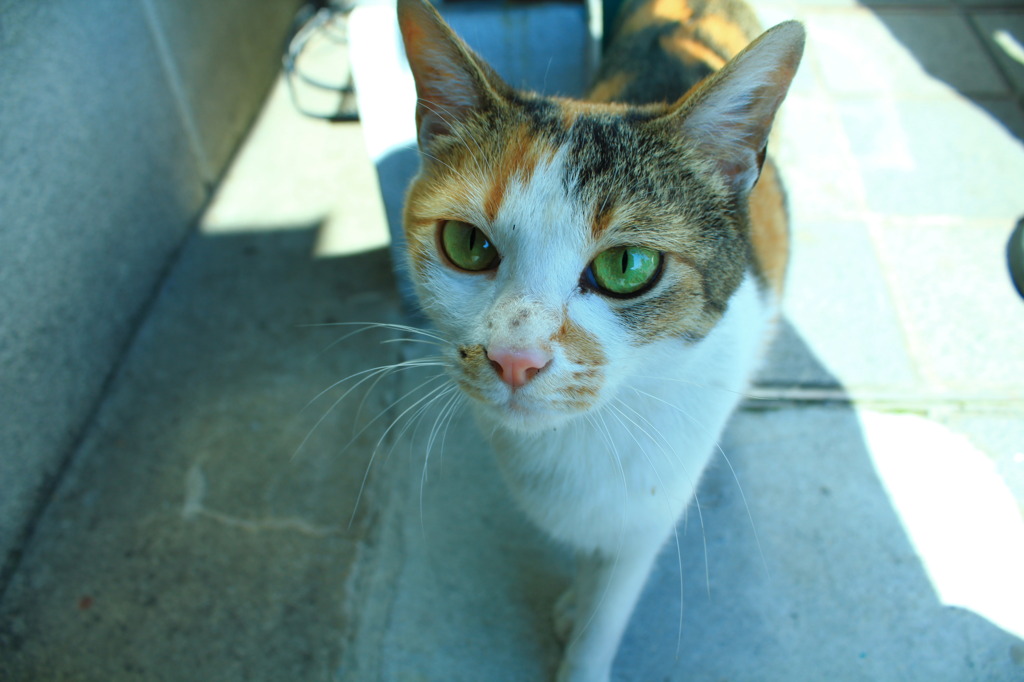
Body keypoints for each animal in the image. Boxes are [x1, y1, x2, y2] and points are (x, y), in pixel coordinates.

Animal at [395, 0, 802, 675]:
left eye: (627, 266)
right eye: (468, 244)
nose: (514, 358)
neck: (585, 435)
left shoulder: (648, 511)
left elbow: (608, 604)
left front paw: (583, 634)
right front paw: (575, 599)